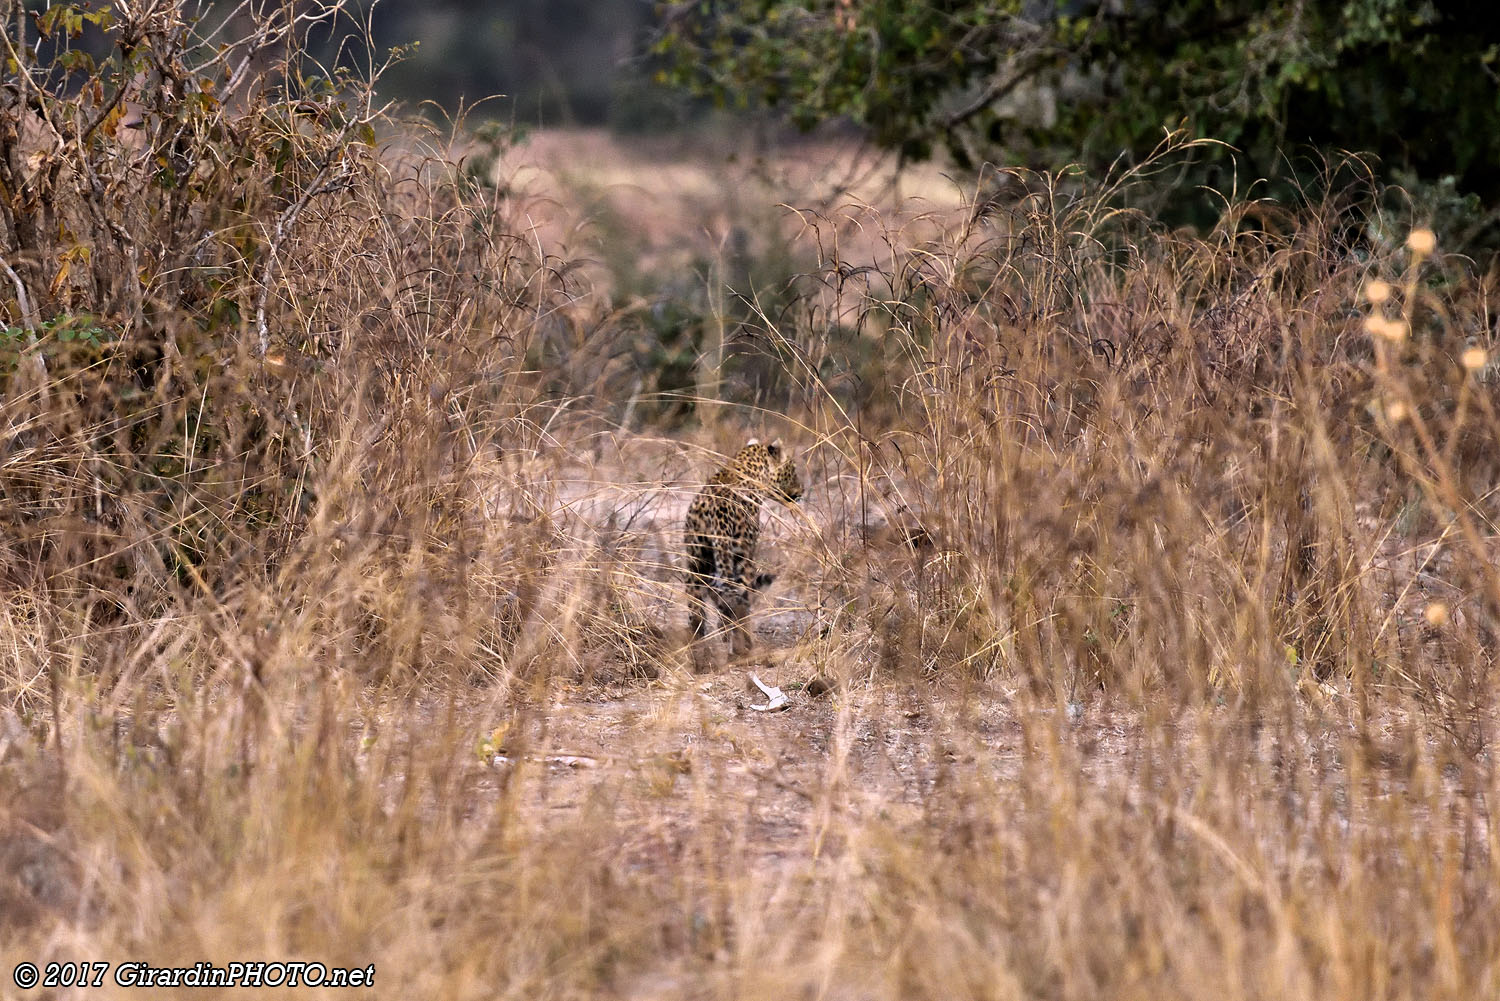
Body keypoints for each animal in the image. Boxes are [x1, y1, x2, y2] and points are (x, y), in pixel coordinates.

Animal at [687, 441, 804, 657]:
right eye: (792, 469)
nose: (803, 490)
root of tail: (716, 514)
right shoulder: (748, 553)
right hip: (739, 559)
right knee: (740, 601)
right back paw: (745, 645)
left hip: (696, 562)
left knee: (697, 609)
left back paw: (697, 650)